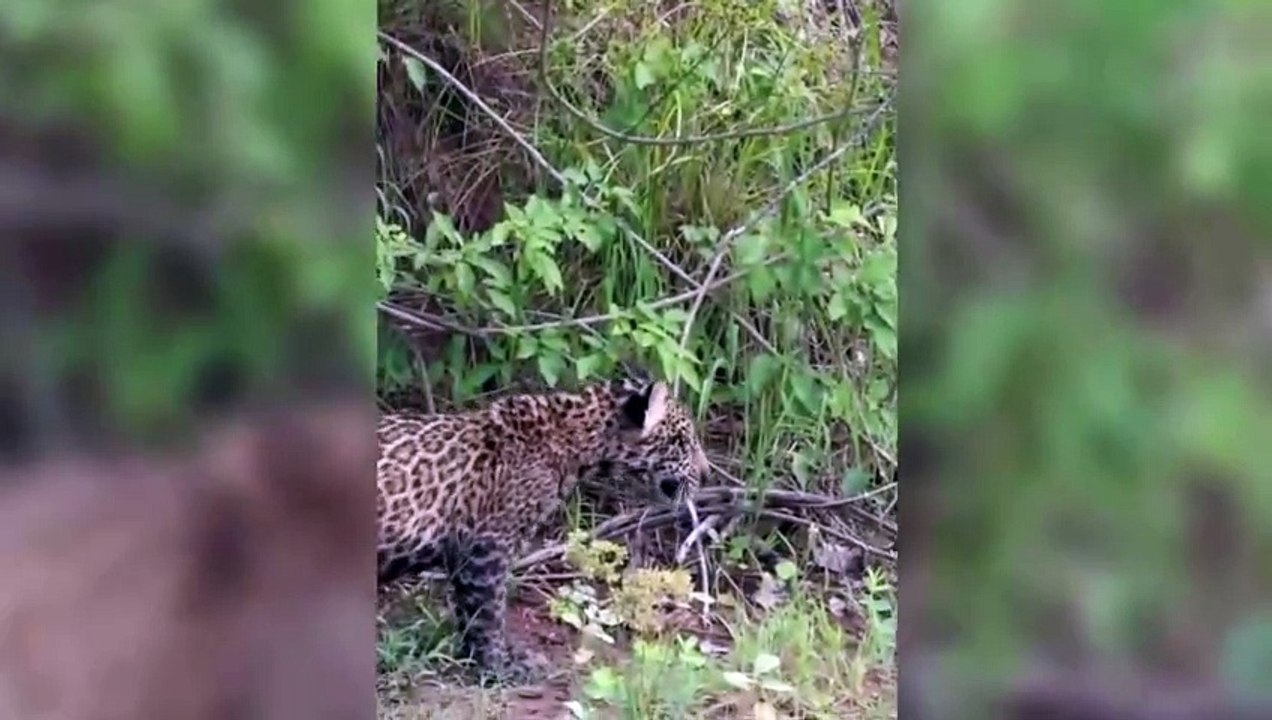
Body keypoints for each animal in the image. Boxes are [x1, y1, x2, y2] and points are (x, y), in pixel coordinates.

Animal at [376, 370, 710, 683]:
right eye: (684, 442)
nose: (707, 475)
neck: (575, 441)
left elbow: (469, 614)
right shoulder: (488, 548)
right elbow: (488, 613)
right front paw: (498, 666)